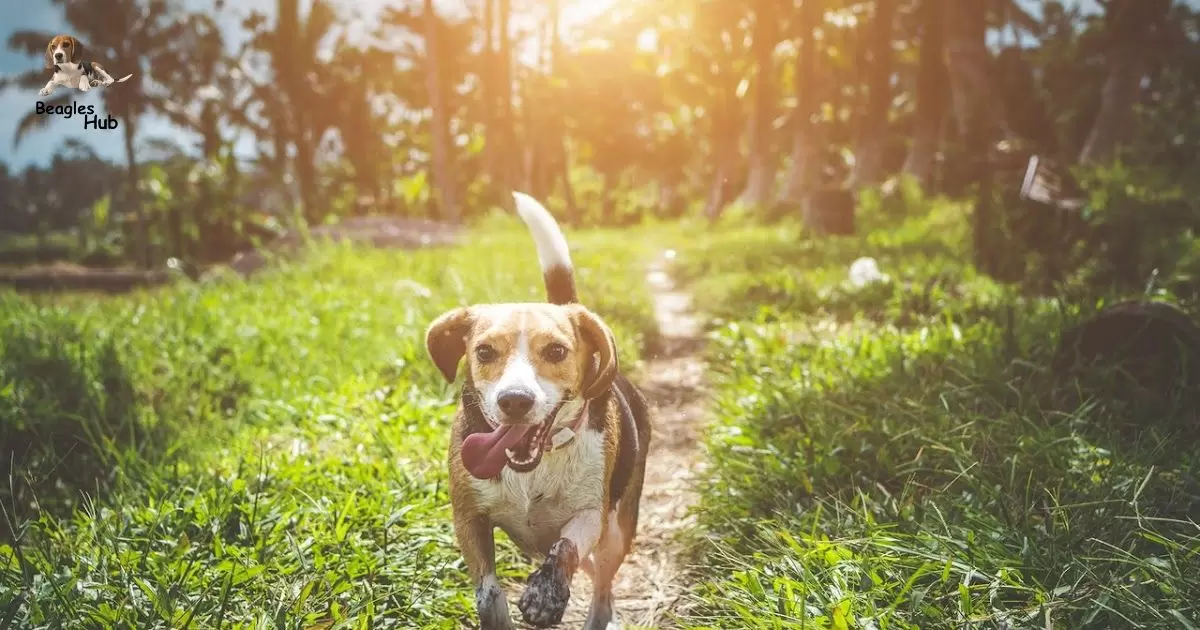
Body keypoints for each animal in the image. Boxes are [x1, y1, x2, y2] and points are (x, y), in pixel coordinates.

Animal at [427, 193, 652, 628]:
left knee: (602, 587)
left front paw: (546, 593)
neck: (534, 467)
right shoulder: (468, 518)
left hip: (617, 532)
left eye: (557, 351)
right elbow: (488, 592)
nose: (515, 400)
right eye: (484, 351)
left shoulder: (590, 514)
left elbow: (565, 547)